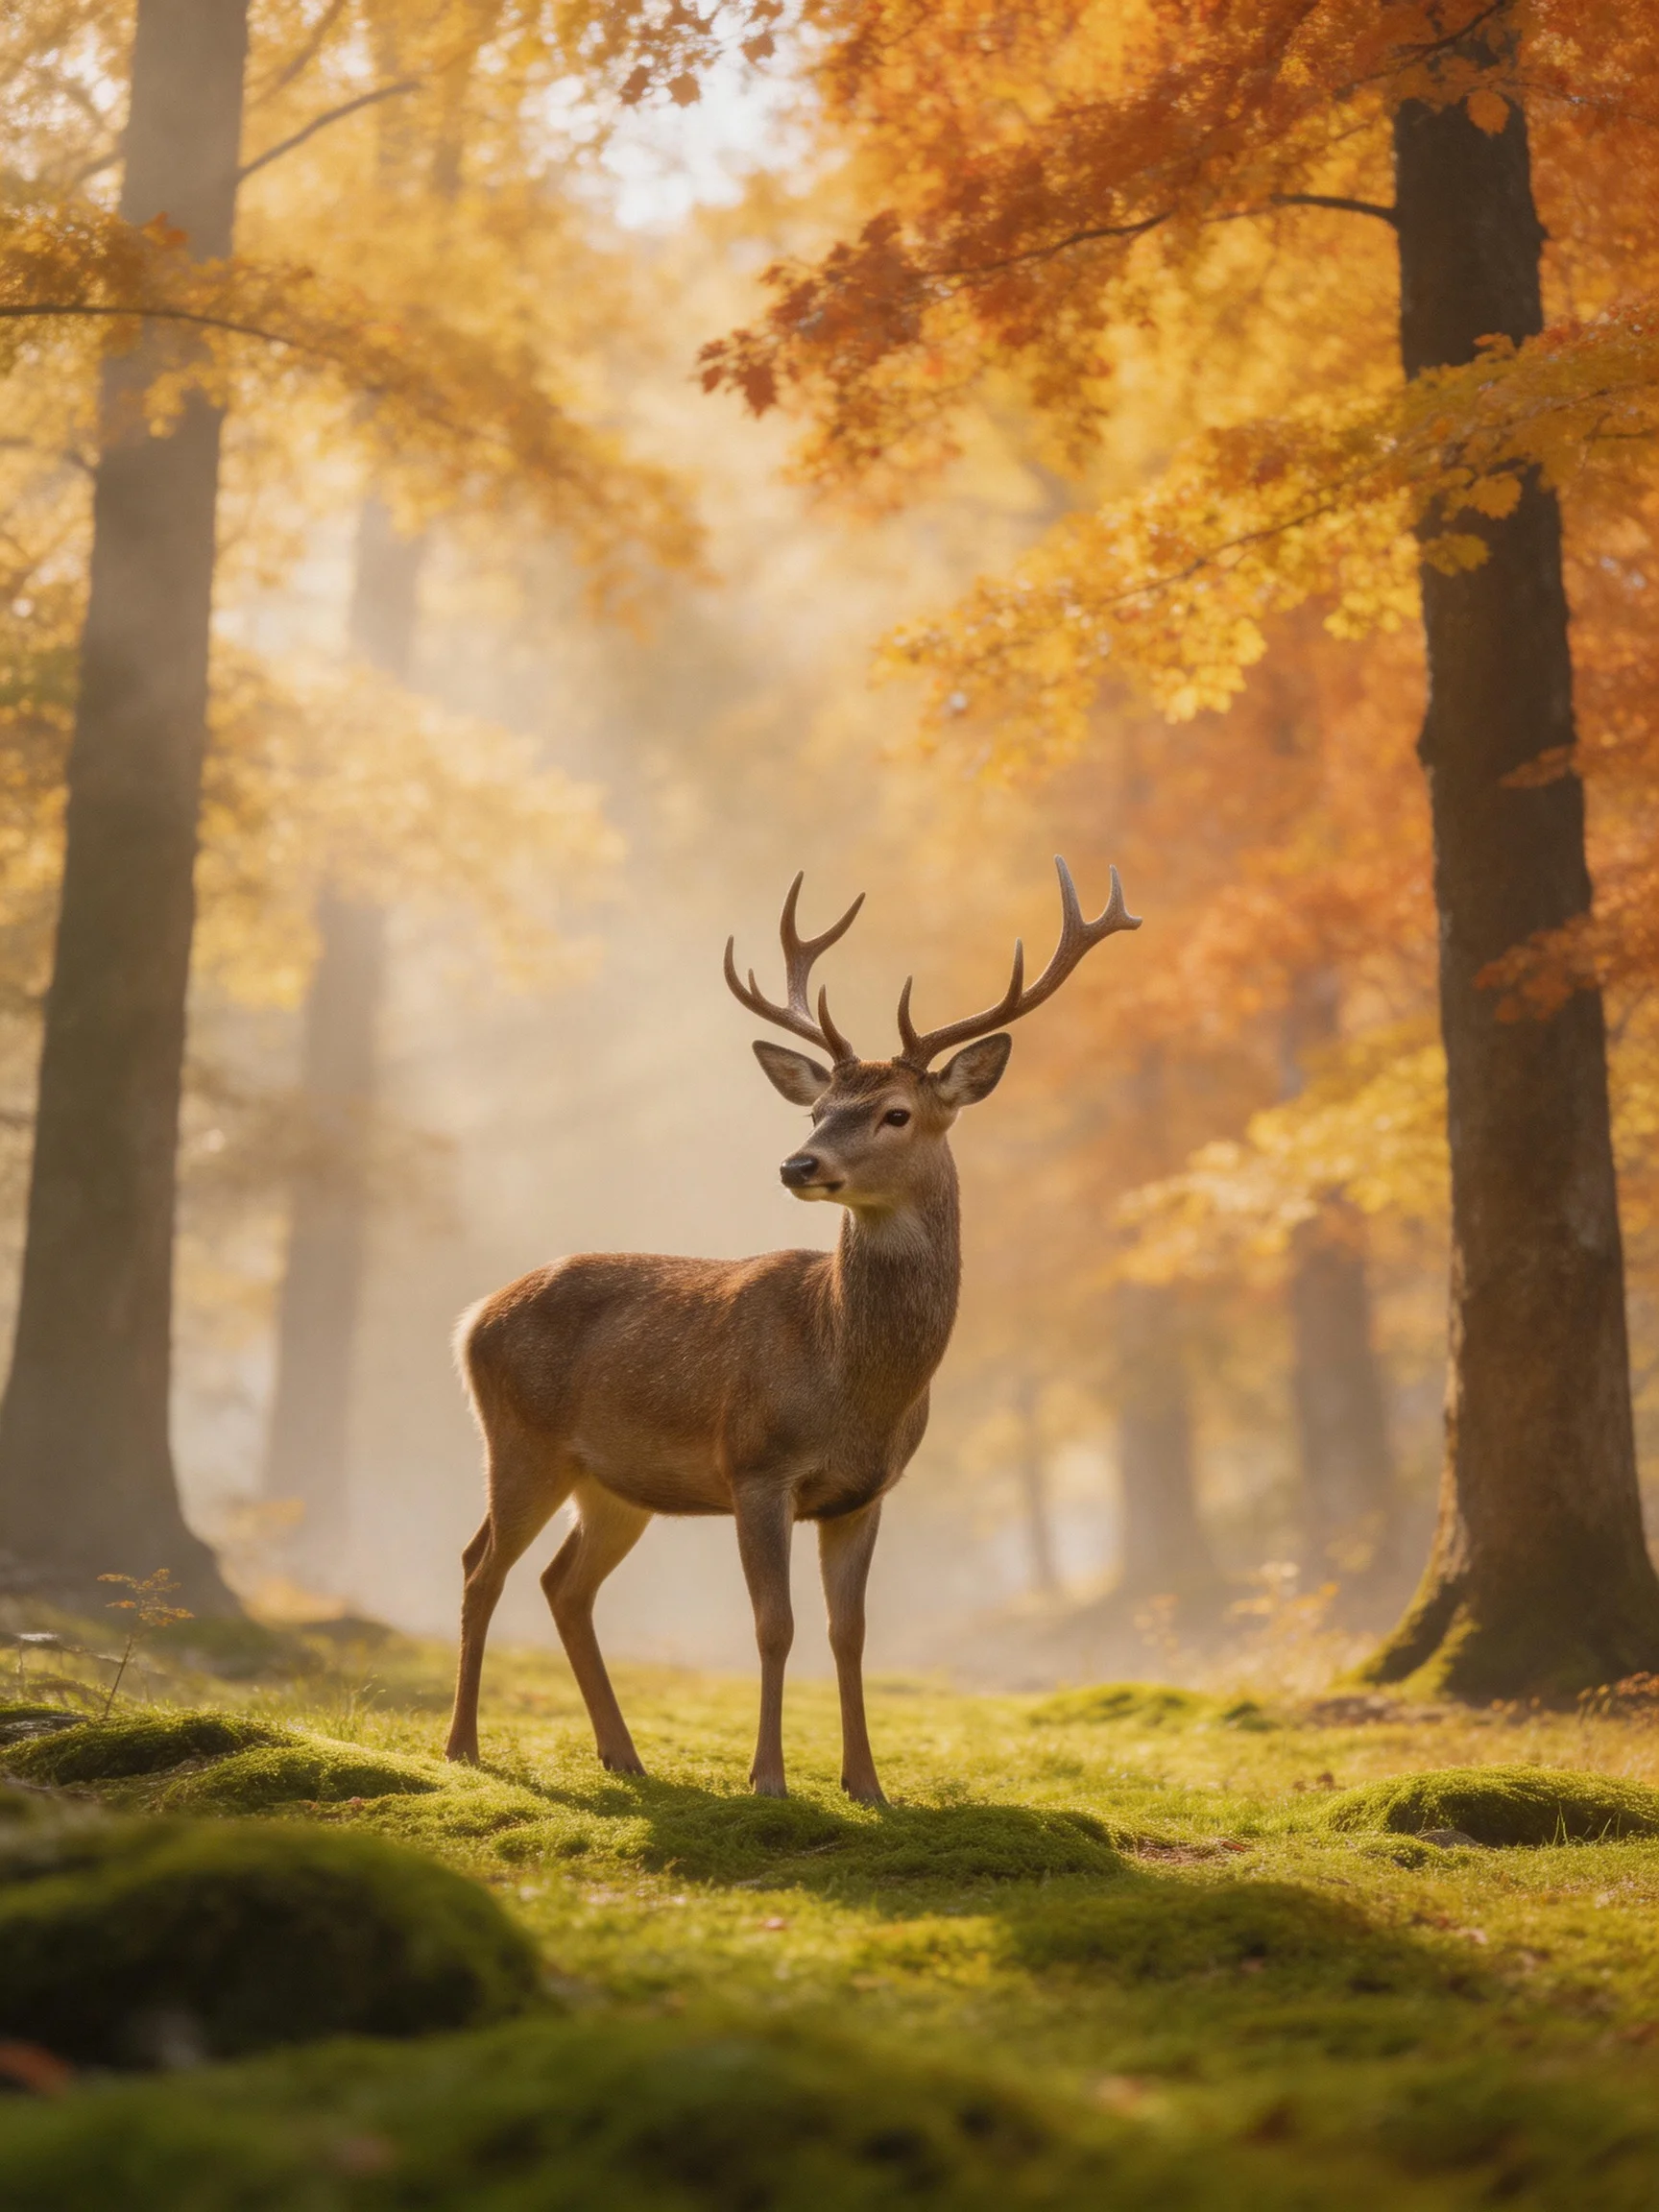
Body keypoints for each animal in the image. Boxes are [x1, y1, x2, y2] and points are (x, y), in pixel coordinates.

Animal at [443, 858, 1140, 1802]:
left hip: (613, 1483)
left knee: (563, 1584)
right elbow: (774, 1625)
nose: (796, 1163)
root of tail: (472, 1316)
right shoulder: (756, 1466)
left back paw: (622, 1753)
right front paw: (768, 1778)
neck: (850, 1378)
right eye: (818, 1111)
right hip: (520, 1438)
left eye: (895, 1112)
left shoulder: (867, 1493)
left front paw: (867, 1784)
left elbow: (851, 1634)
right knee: (482, 1567)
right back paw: (463, 1744)